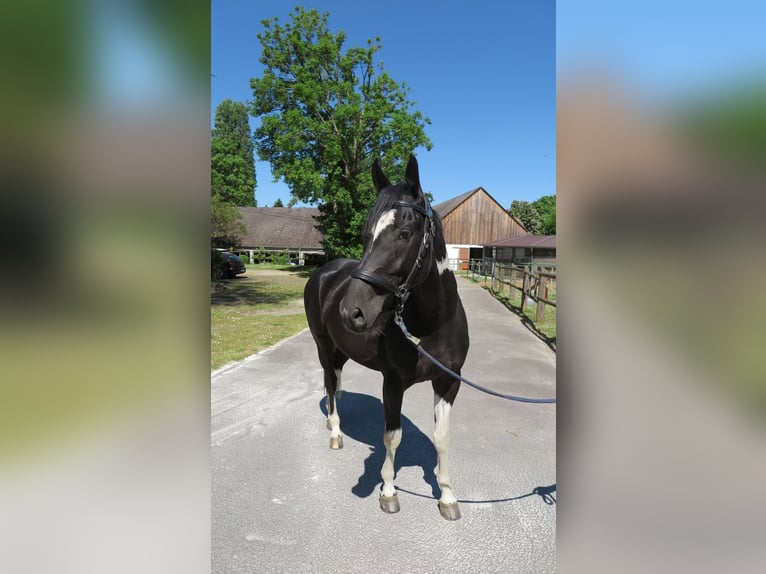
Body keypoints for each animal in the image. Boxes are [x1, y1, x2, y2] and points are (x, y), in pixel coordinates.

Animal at [303, 154, 470, 520]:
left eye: (405, 233)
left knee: (335, 379)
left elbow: (443, 437)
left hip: (341, 348)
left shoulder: (449, 381)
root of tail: (323, 272)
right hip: (323, 344)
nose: (351, 311)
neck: (431, 326)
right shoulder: (393, 382)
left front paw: (447, 496)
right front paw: (389, 492)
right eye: (366, 234)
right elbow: (392, 437)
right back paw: (335, 431)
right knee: (329, 382)